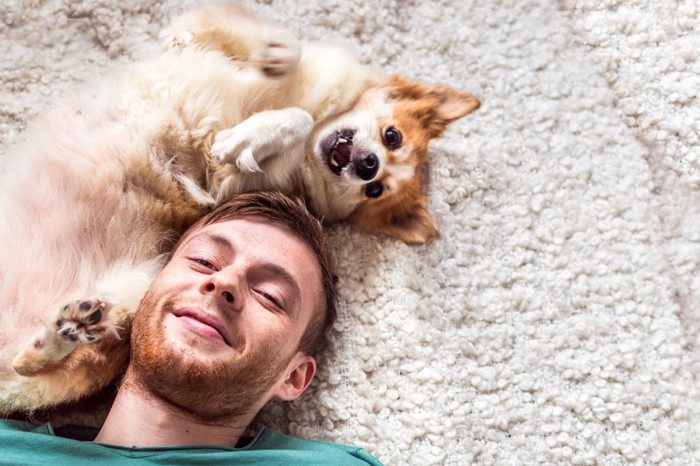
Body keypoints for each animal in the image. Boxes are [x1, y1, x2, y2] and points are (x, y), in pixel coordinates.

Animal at [0, 2, 478, 412]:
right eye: (392, 137)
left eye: (375, 191)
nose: (368, 166)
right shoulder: (206, 31)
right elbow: (284, 51)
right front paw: (276, 59)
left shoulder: (235, 184)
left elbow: (286, 126)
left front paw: (252, 134)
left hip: (140, 291)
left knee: (39, 363)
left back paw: (69, 331)